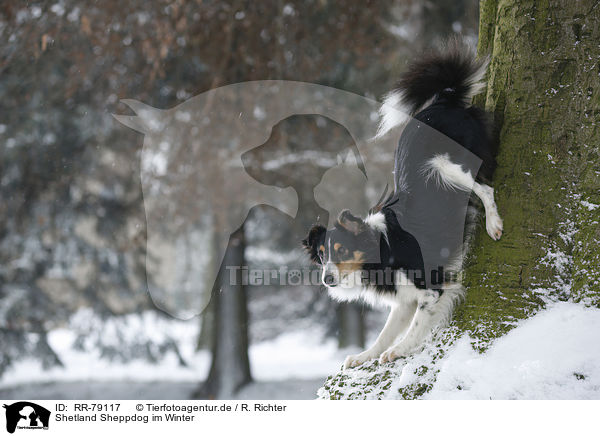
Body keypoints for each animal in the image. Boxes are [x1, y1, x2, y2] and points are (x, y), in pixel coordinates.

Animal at [302, 44, 504, 370]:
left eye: (343, 251)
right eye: (321, 256)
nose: (327, 280)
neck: (382, 251)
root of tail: (444, 99)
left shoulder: (432, 286)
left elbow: (416, 324)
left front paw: (400, 350)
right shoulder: (403, 298)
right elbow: (385, 332)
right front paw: (364, 356)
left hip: (443, 165)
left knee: (485, 188)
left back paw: (493, 224)